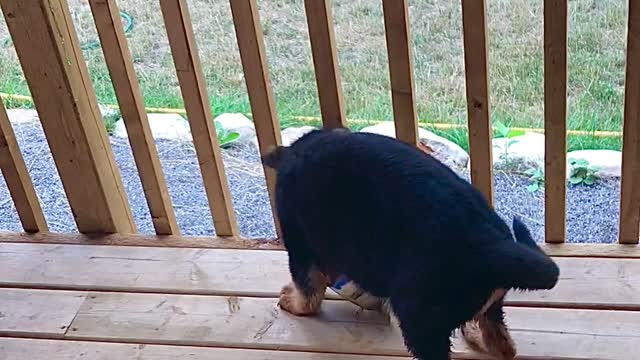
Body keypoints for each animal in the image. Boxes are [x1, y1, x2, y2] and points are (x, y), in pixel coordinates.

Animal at [262, 128, 556, 358]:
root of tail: (492, 246)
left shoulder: (300, 247)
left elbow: (309, 293)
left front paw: (291, 301)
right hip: (484, 306)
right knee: (502, 343)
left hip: (420, 321)